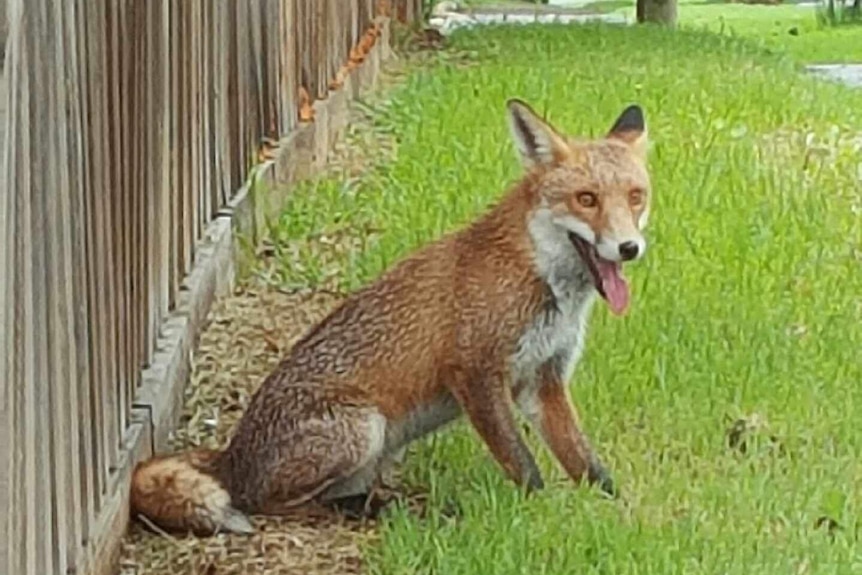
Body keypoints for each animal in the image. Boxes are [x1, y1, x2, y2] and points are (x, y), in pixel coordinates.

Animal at [130, 98, 656, 536]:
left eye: (636, 197)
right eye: (586, 199)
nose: (629, 248)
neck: (539, 279)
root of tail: (231, 455)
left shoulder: (544, 379)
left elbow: (588, 464)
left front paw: (618, 511)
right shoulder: (475, 372)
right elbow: (524, 464)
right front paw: (544, 514)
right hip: (364, 428)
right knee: (267, 503)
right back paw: (369, 510)